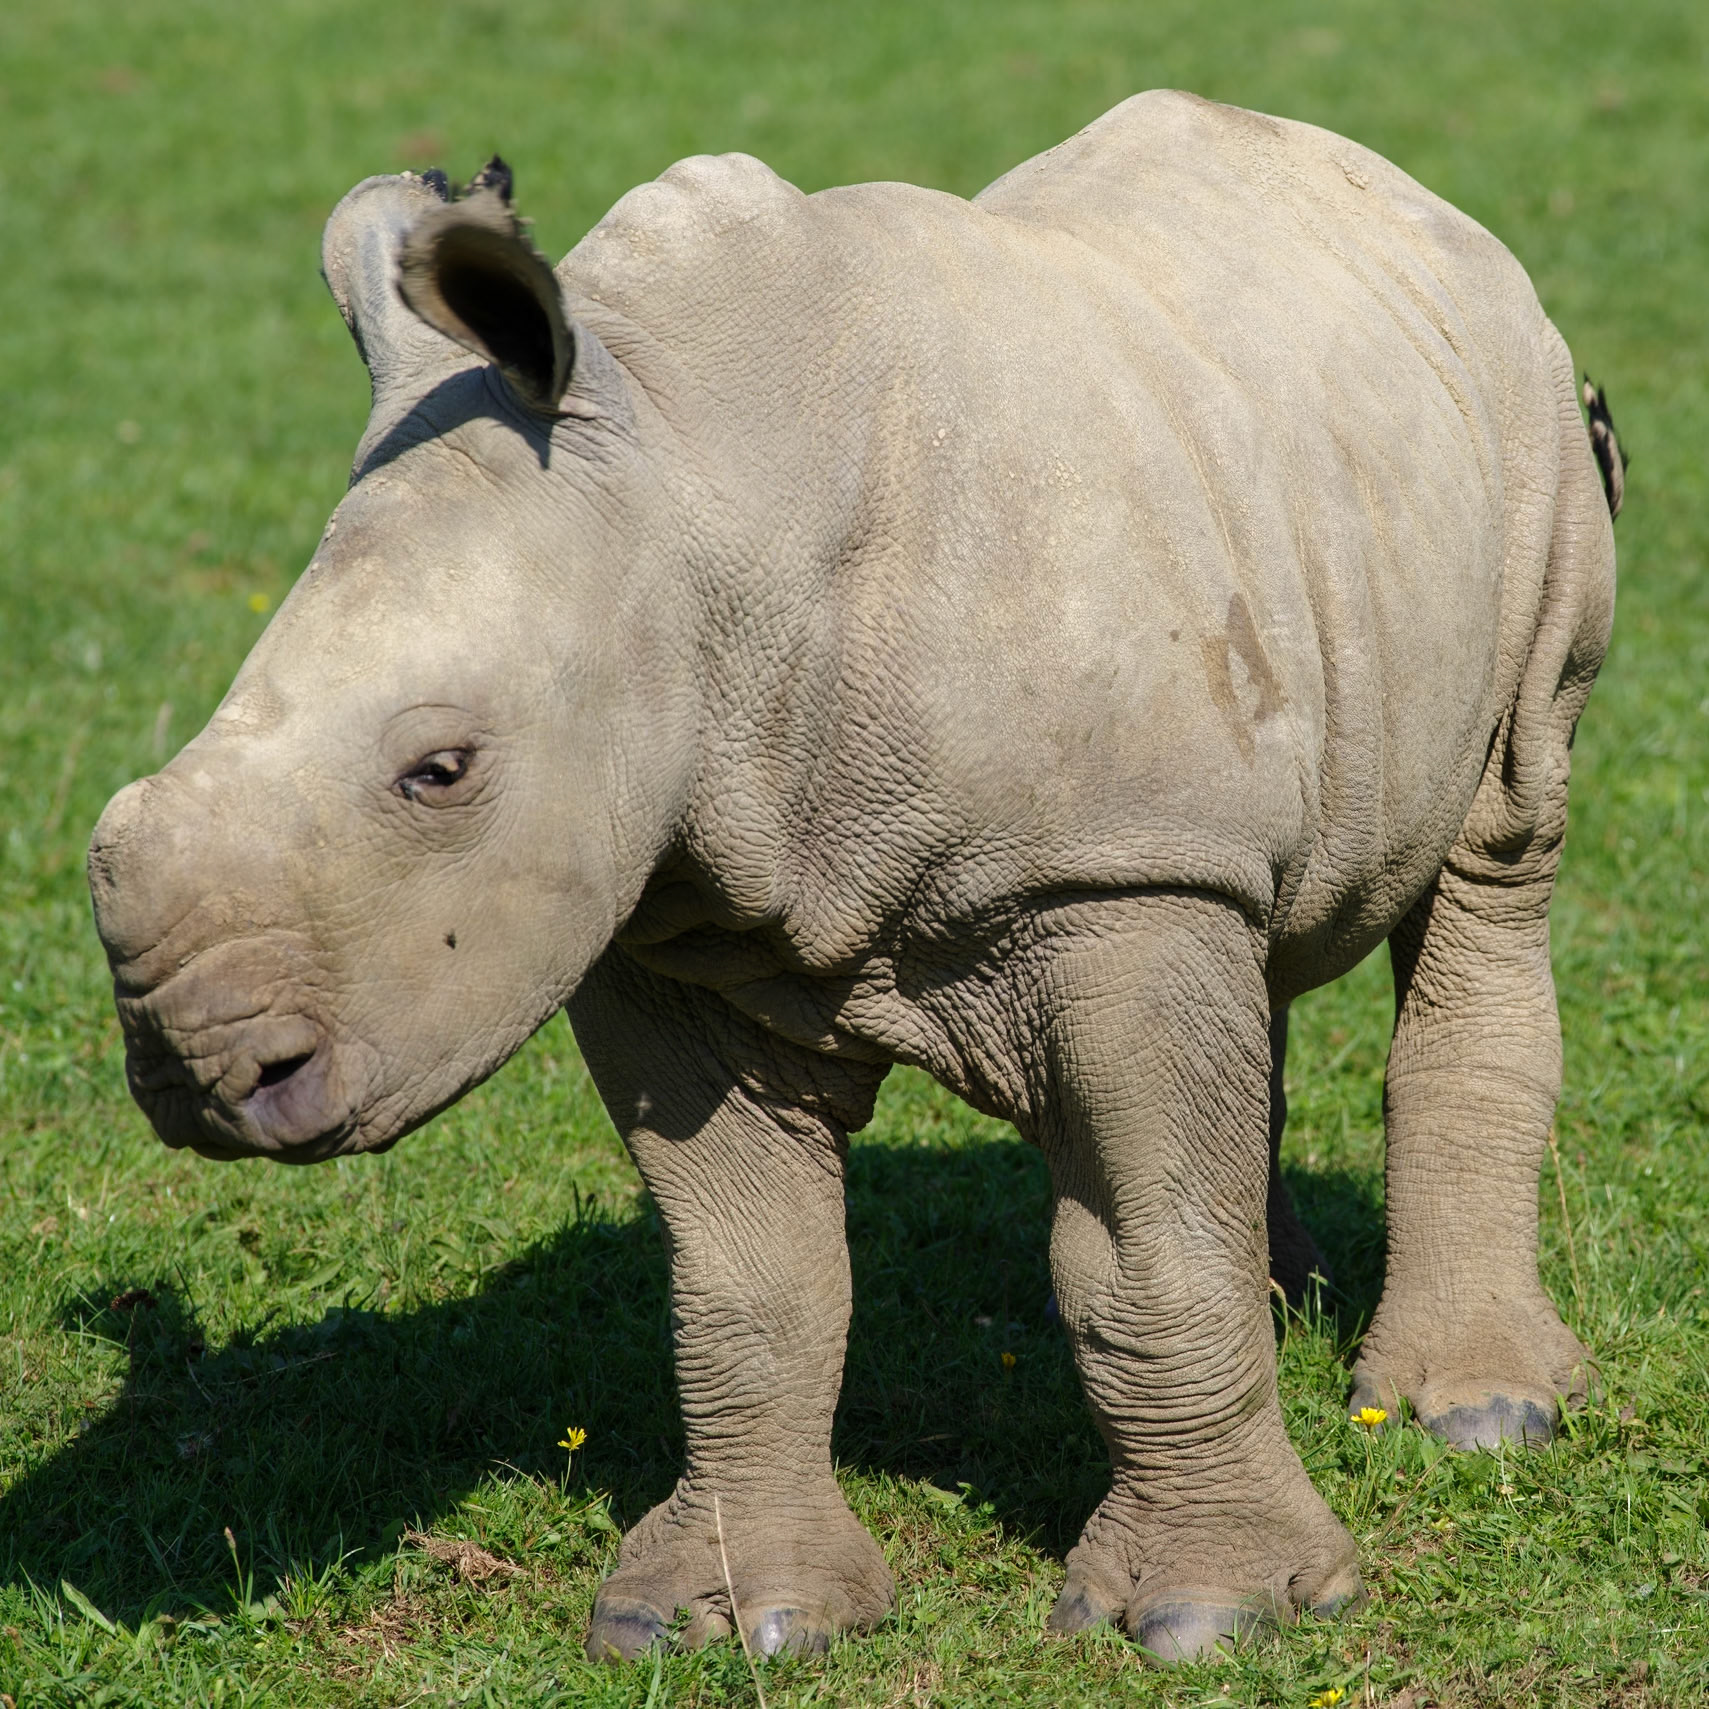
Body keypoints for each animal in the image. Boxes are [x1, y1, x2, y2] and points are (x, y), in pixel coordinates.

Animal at [88, 91, 1618, 1664]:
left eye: (438, 772)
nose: (199, 1072)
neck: (689, 499)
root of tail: (1396, 193)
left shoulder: (1103, 874)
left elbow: (1144, 1256)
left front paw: (1211, 1614)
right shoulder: (666, 913)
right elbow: (746, 1279)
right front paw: (719, 1619)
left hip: (1525, 434)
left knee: (1497, 842)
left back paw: (1481, 1413)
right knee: (1255, 947)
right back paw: (1297, 1312)